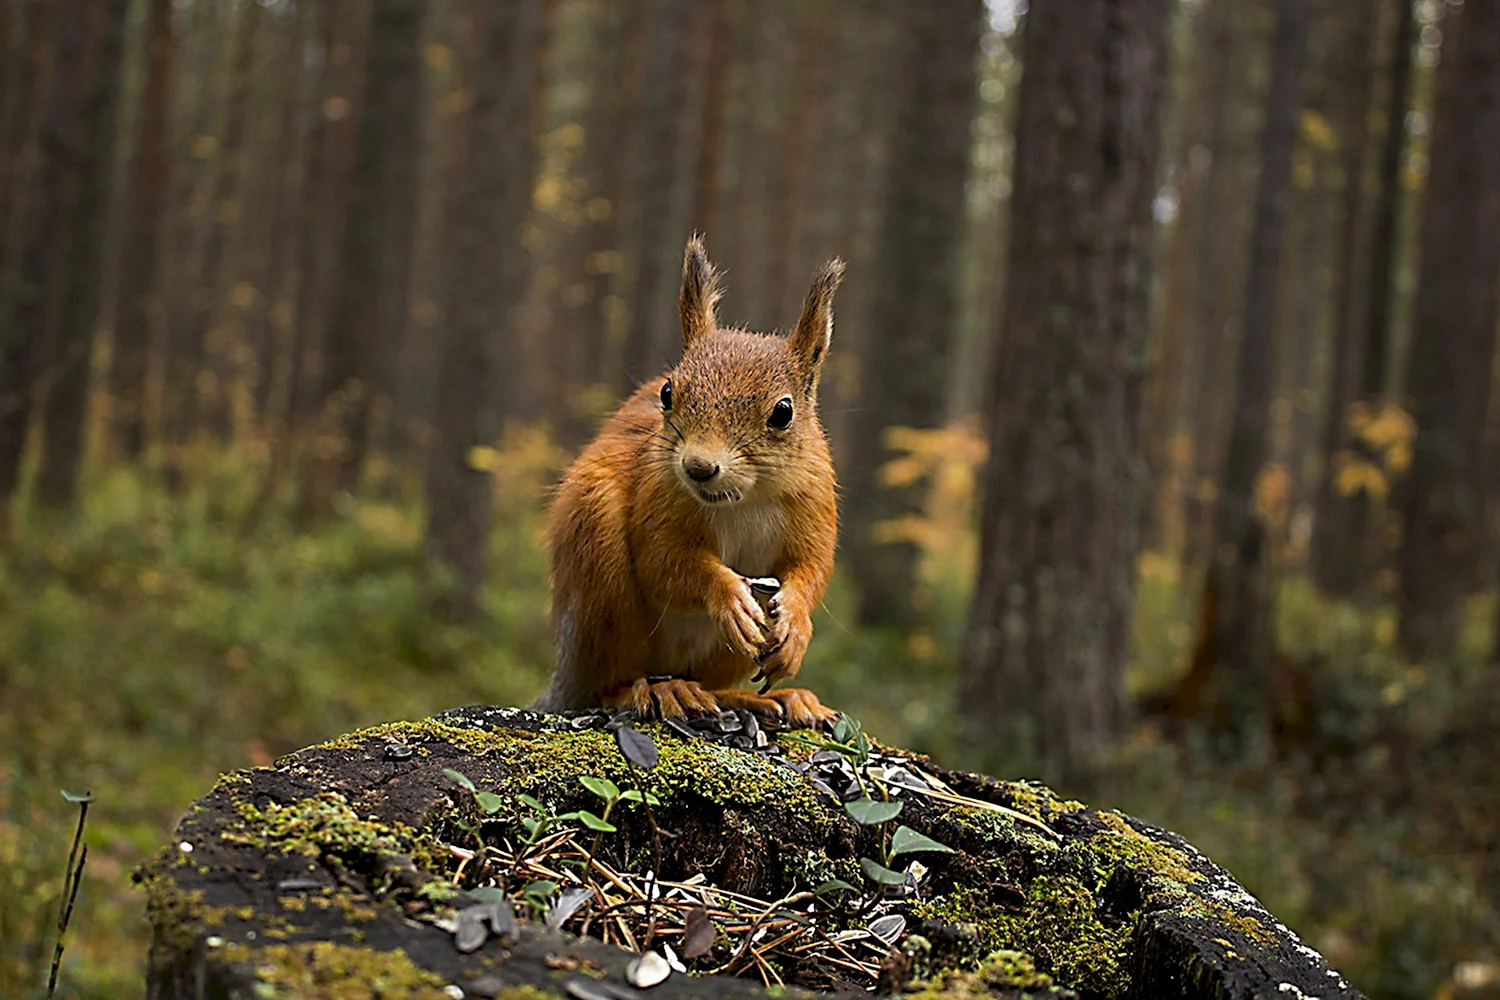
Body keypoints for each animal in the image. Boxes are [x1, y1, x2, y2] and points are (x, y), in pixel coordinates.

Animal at [534, 238, 846, 731]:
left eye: (783, 412)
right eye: (667, 393)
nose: (698, 467)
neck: (744, 499)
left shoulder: (814, 506)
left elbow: (811, 570)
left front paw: (795, 624)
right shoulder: (657, 499)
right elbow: (664, 564)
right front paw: (728, 595)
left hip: (723, 656)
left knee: (714, 684)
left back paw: (772, 699)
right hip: (599, 573)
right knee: (609, 685)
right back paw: (659, 689)